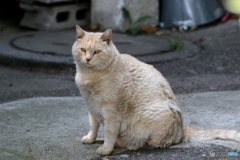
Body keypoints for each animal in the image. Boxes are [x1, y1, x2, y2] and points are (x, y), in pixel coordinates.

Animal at [72, 25, 240, 156]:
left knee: (156, 143)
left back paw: (133, 145)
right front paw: (91, 138)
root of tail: (182, 128)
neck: (88, 76)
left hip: (150, 119)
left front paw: (106, 149)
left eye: (97, 52)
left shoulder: (111, 113)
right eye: (83, 50)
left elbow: (109, 133)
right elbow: (93, 126)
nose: (88, 59)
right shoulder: (91, 107)